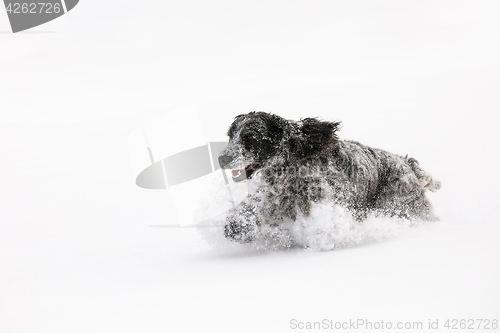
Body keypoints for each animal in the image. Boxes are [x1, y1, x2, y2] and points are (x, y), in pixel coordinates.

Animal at [217, 111, 440, 246]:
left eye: (250, 138)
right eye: (230, 136)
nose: (221, 158)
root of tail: (406, 163)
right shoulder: (275, 197)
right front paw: (237, 227)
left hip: (398, 206)